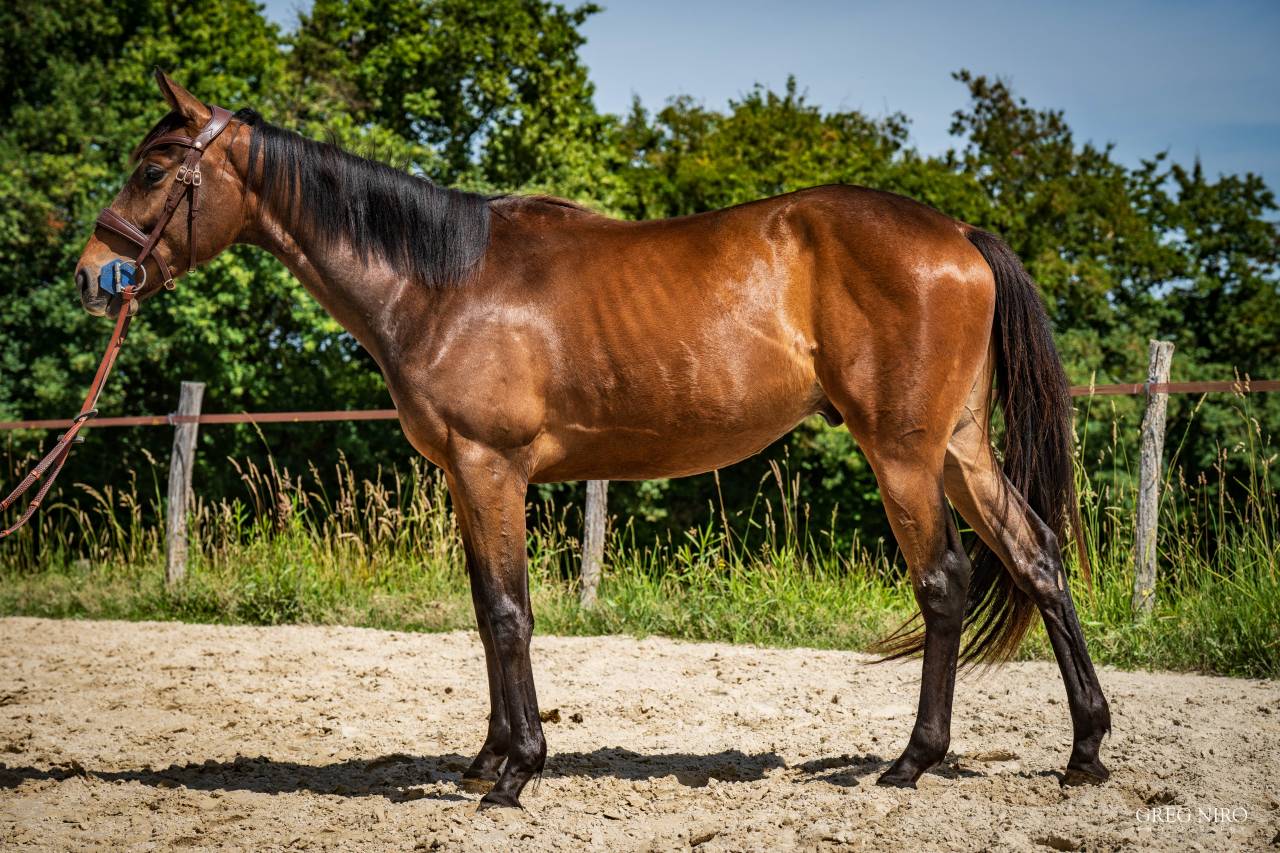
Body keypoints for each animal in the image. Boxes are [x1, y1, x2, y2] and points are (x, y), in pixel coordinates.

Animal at [74, 71, 1111, 809]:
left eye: (156, 170)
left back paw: (913, 761)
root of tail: (959, 234)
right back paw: (1085, 749)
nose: (93, 274)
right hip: (960, 449)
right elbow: (485, 610)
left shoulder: (492, 468)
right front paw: (487, 755)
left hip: (903, 453)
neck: (442, 282)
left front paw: (516, 771)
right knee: (1036, 558)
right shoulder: (466, 478)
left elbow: (508, 612)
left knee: (946, 582)